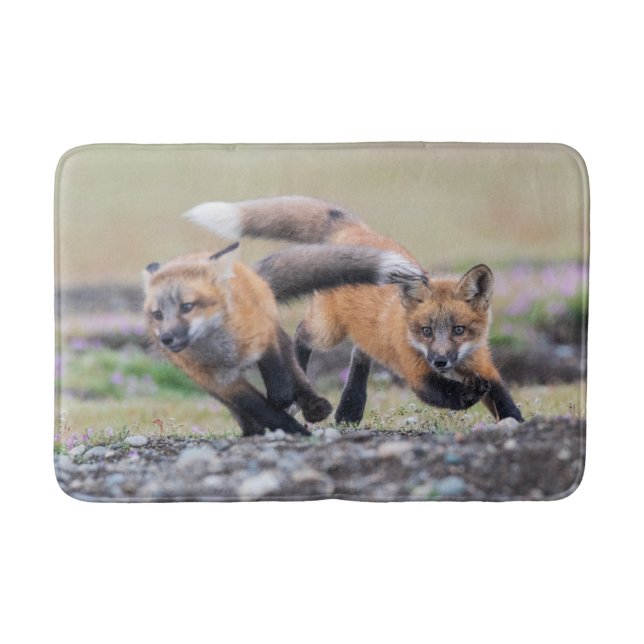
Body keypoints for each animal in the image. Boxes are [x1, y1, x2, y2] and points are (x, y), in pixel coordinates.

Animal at [143, 240, 428, 436]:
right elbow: (257, 407)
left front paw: (287, 406)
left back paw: (315, 406)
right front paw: (287, 428)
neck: (223, 350)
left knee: (296, 366)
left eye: (187, 307)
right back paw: (252, 430)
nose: (166, 338)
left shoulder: (265, 337)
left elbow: (280, 385)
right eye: (157, 314)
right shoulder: (220, 381)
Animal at [184, 196, 524, 424]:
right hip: (327, 331)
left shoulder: (482, 362)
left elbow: (502, 398)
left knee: (360, 355)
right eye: (426, 331)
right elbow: (447, 394)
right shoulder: (417, 372)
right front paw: (469, 394)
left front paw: (516, 424)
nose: (440, 360)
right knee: (301, 335)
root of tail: (355, 231)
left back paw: (350, 409)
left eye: (459, 330)